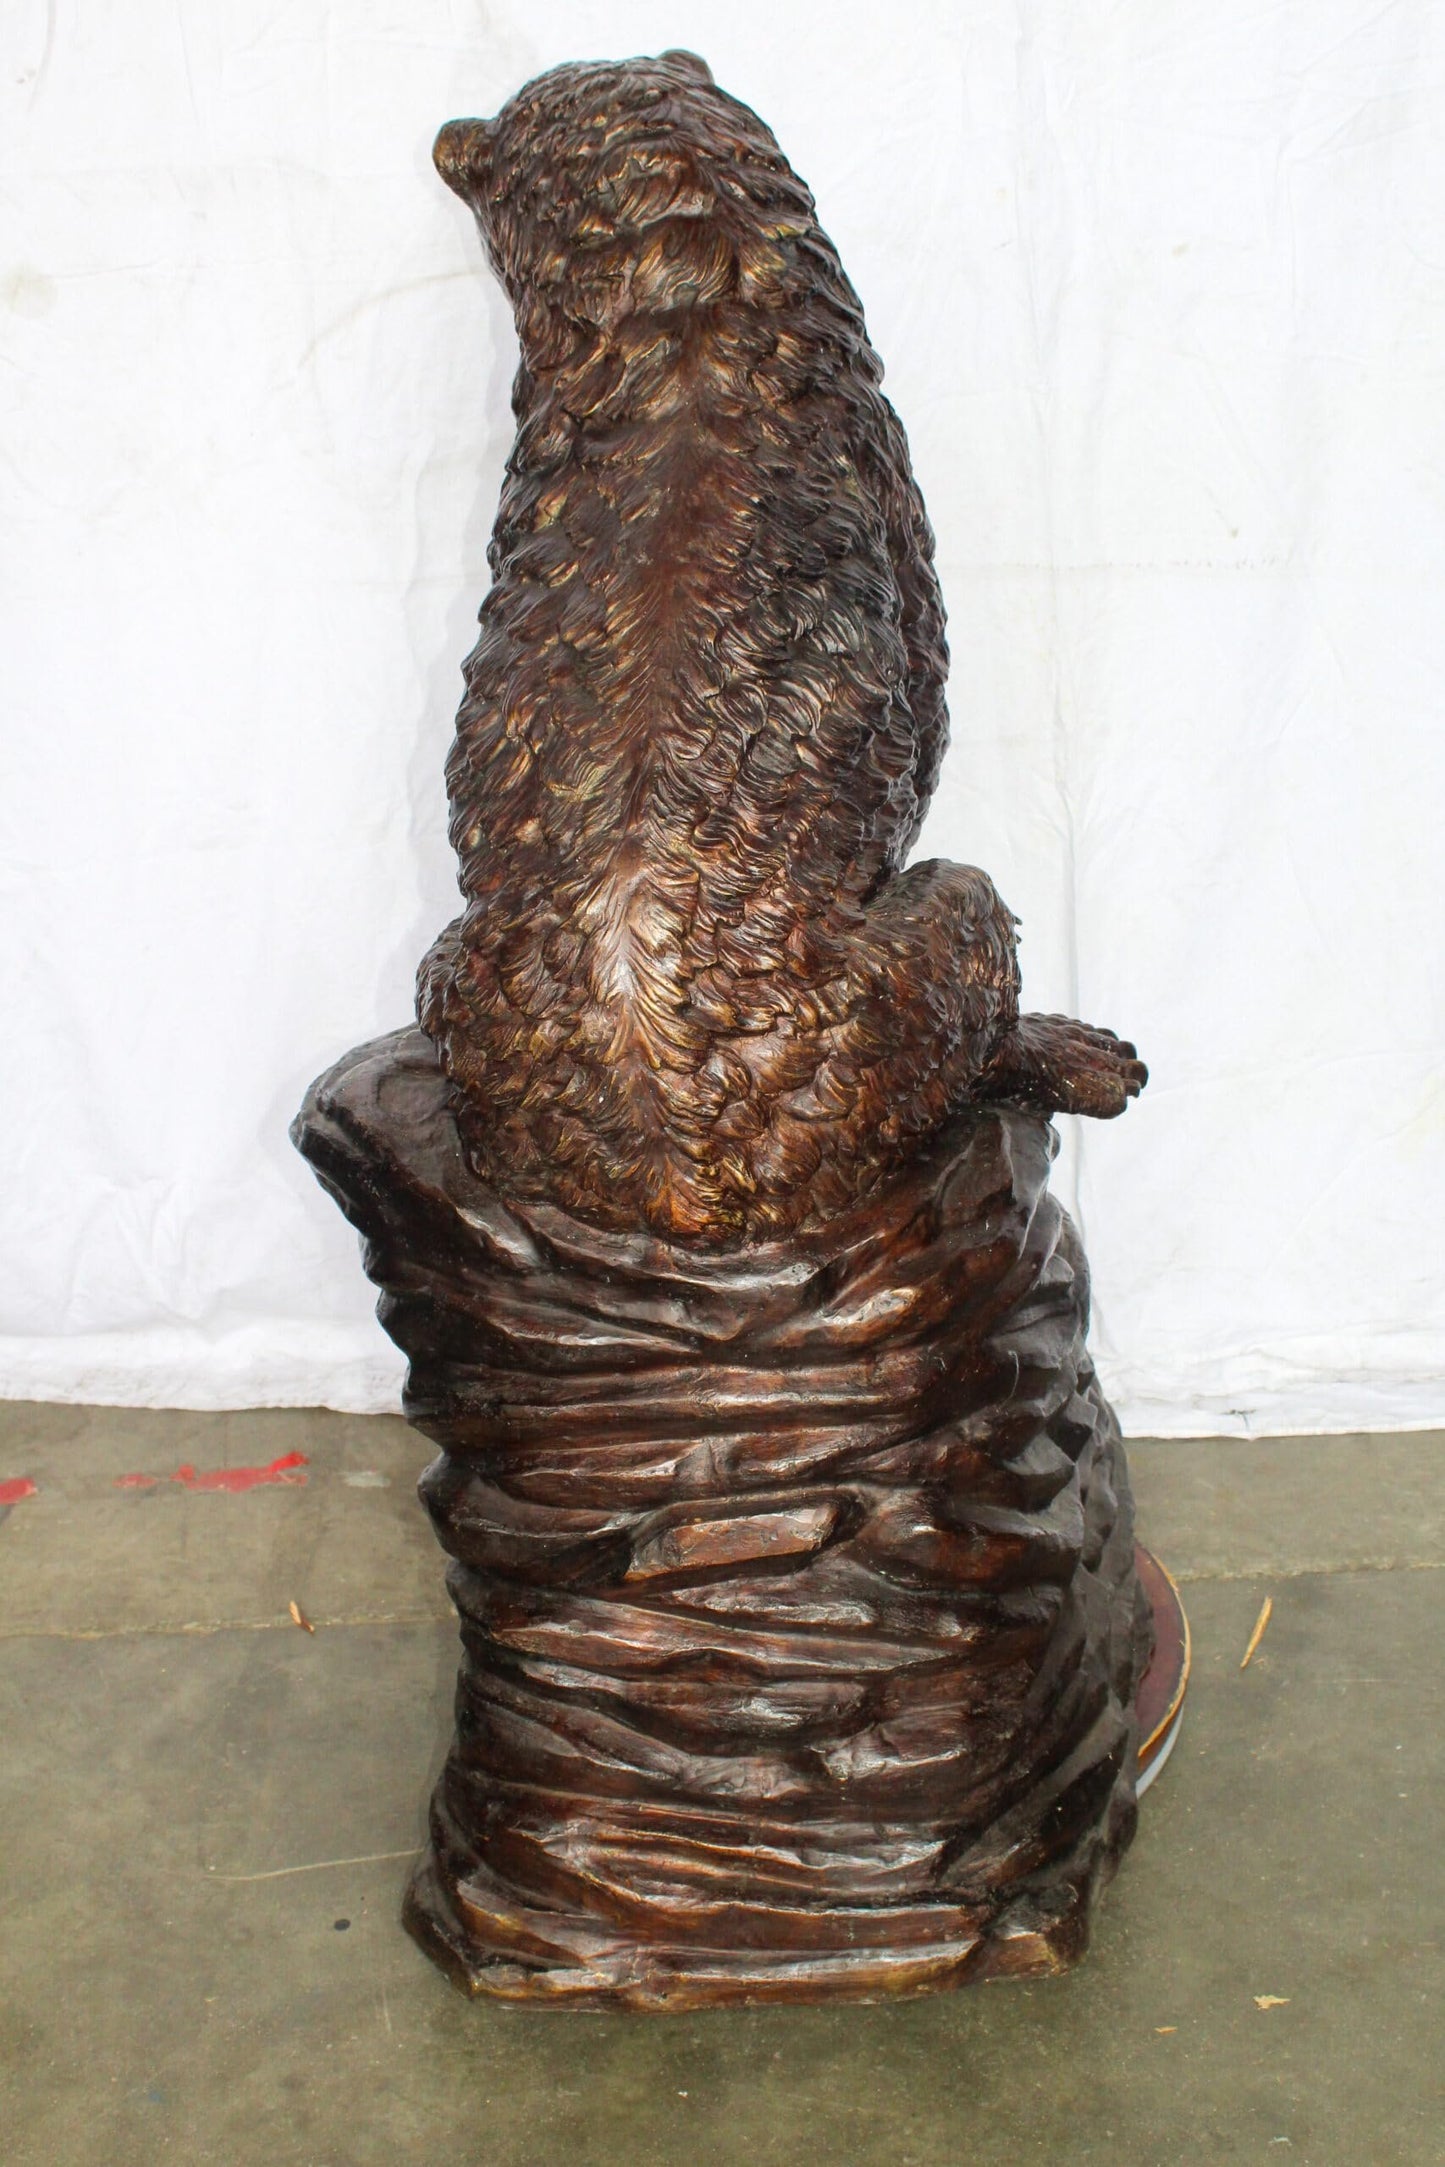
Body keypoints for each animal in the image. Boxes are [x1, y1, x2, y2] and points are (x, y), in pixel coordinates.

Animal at [417, 50, 1145, 1247]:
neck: (682, 318)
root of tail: (671, 1160)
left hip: (450, 968)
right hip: (949, 922)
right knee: (974, 1031)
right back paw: (1071, 1052)